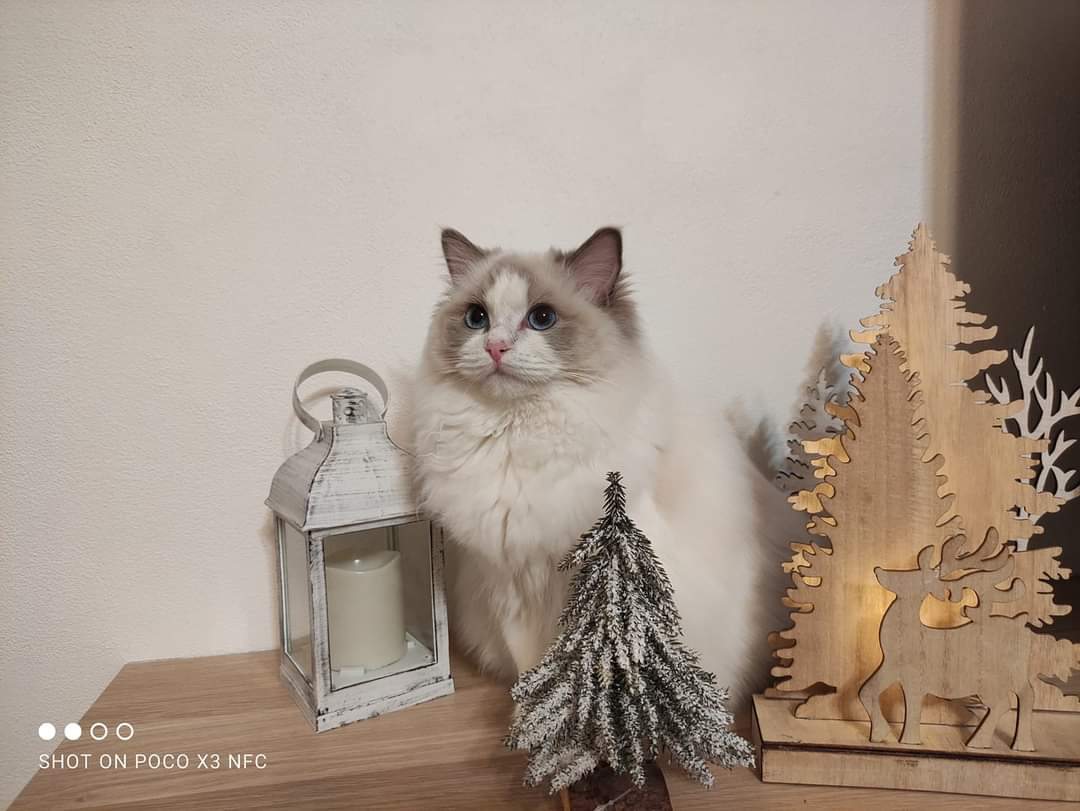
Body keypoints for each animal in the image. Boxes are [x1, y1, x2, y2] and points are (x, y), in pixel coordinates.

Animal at [407, 226, 799, 705]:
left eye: (541, 318)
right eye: (476, 318)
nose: (495, 347)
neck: (517, 435)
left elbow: (584, 677)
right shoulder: (511, 584)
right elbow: (530, 670)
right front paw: (531, 719)